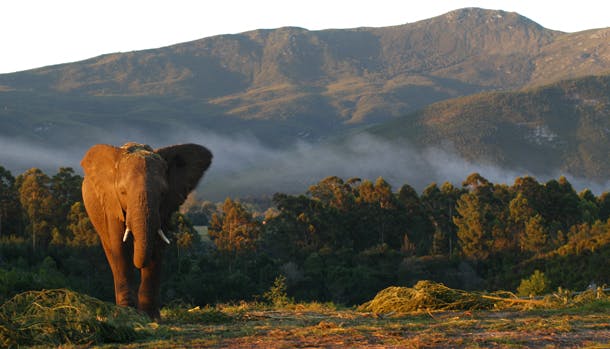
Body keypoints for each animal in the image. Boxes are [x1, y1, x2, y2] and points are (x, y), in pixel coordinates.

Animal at [79, 141, 211, 318]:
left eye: (163, 193)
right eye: (122, 192)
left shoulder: (164, 209)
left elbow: (156, 246)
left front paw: (151, 316)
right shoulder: (111, 203)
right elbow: (120, 247)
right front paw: (128, 313)